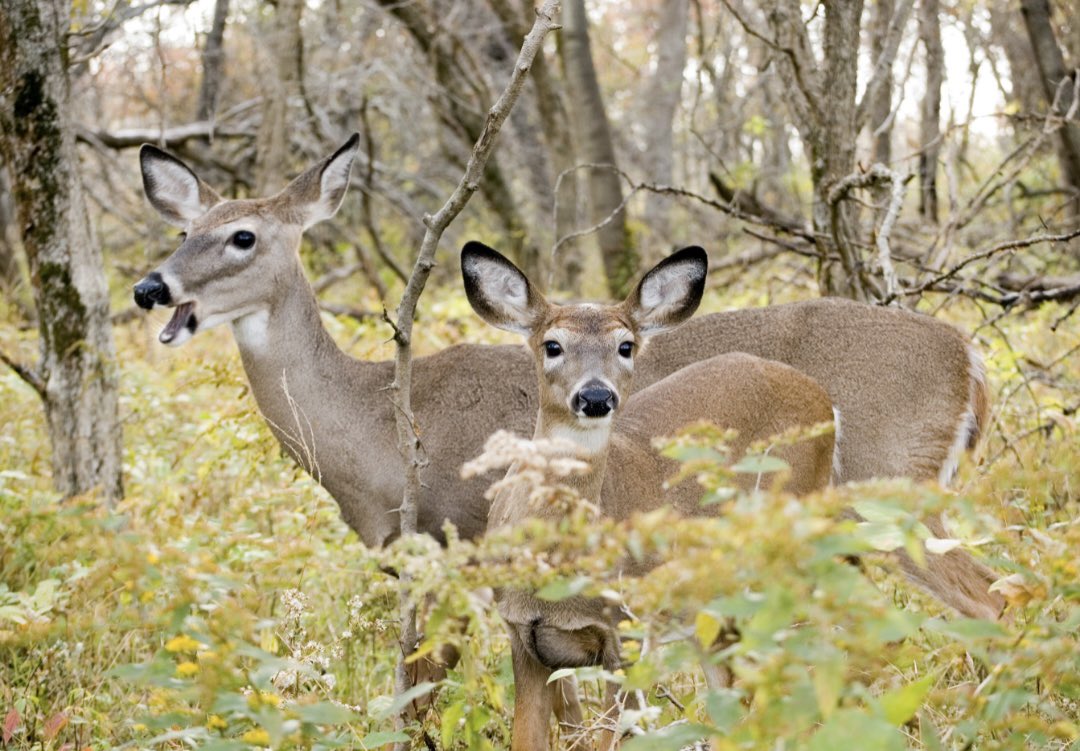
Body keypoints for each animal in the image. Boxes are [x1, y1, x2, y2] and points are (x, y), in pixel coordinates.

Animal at [132, 135, 1002, 629]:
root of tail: (971, 359)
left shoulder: (466, 543)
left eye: (243, 237)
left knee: (994, 597)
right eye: (184, 230)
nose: (150, 288)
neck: (377, 429)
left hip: (892, 492)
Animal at [461, 242, 836, 751]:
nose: (596, 396)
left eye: (626, 346)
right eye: (552, 345)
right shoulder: (522, 636)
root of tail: (824, 399)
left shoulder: (626, 629)